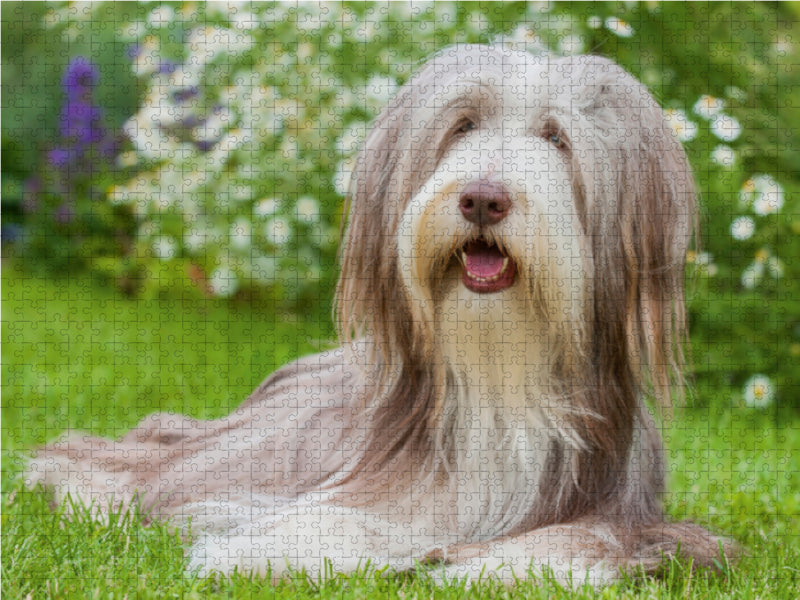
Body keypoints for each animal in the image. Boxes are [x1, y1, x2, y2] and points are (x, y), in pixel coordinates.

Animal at [26, 45, 732, 584]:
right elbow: (338, 514)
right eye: (463, 126)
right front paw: (257, 550)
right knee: (135, 460)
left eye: (556, 137)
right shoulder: (350, 481)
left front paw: (486, 565)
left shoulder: (645, 525)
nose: (482, 198)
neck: (502, 380)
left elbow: (584, 541)